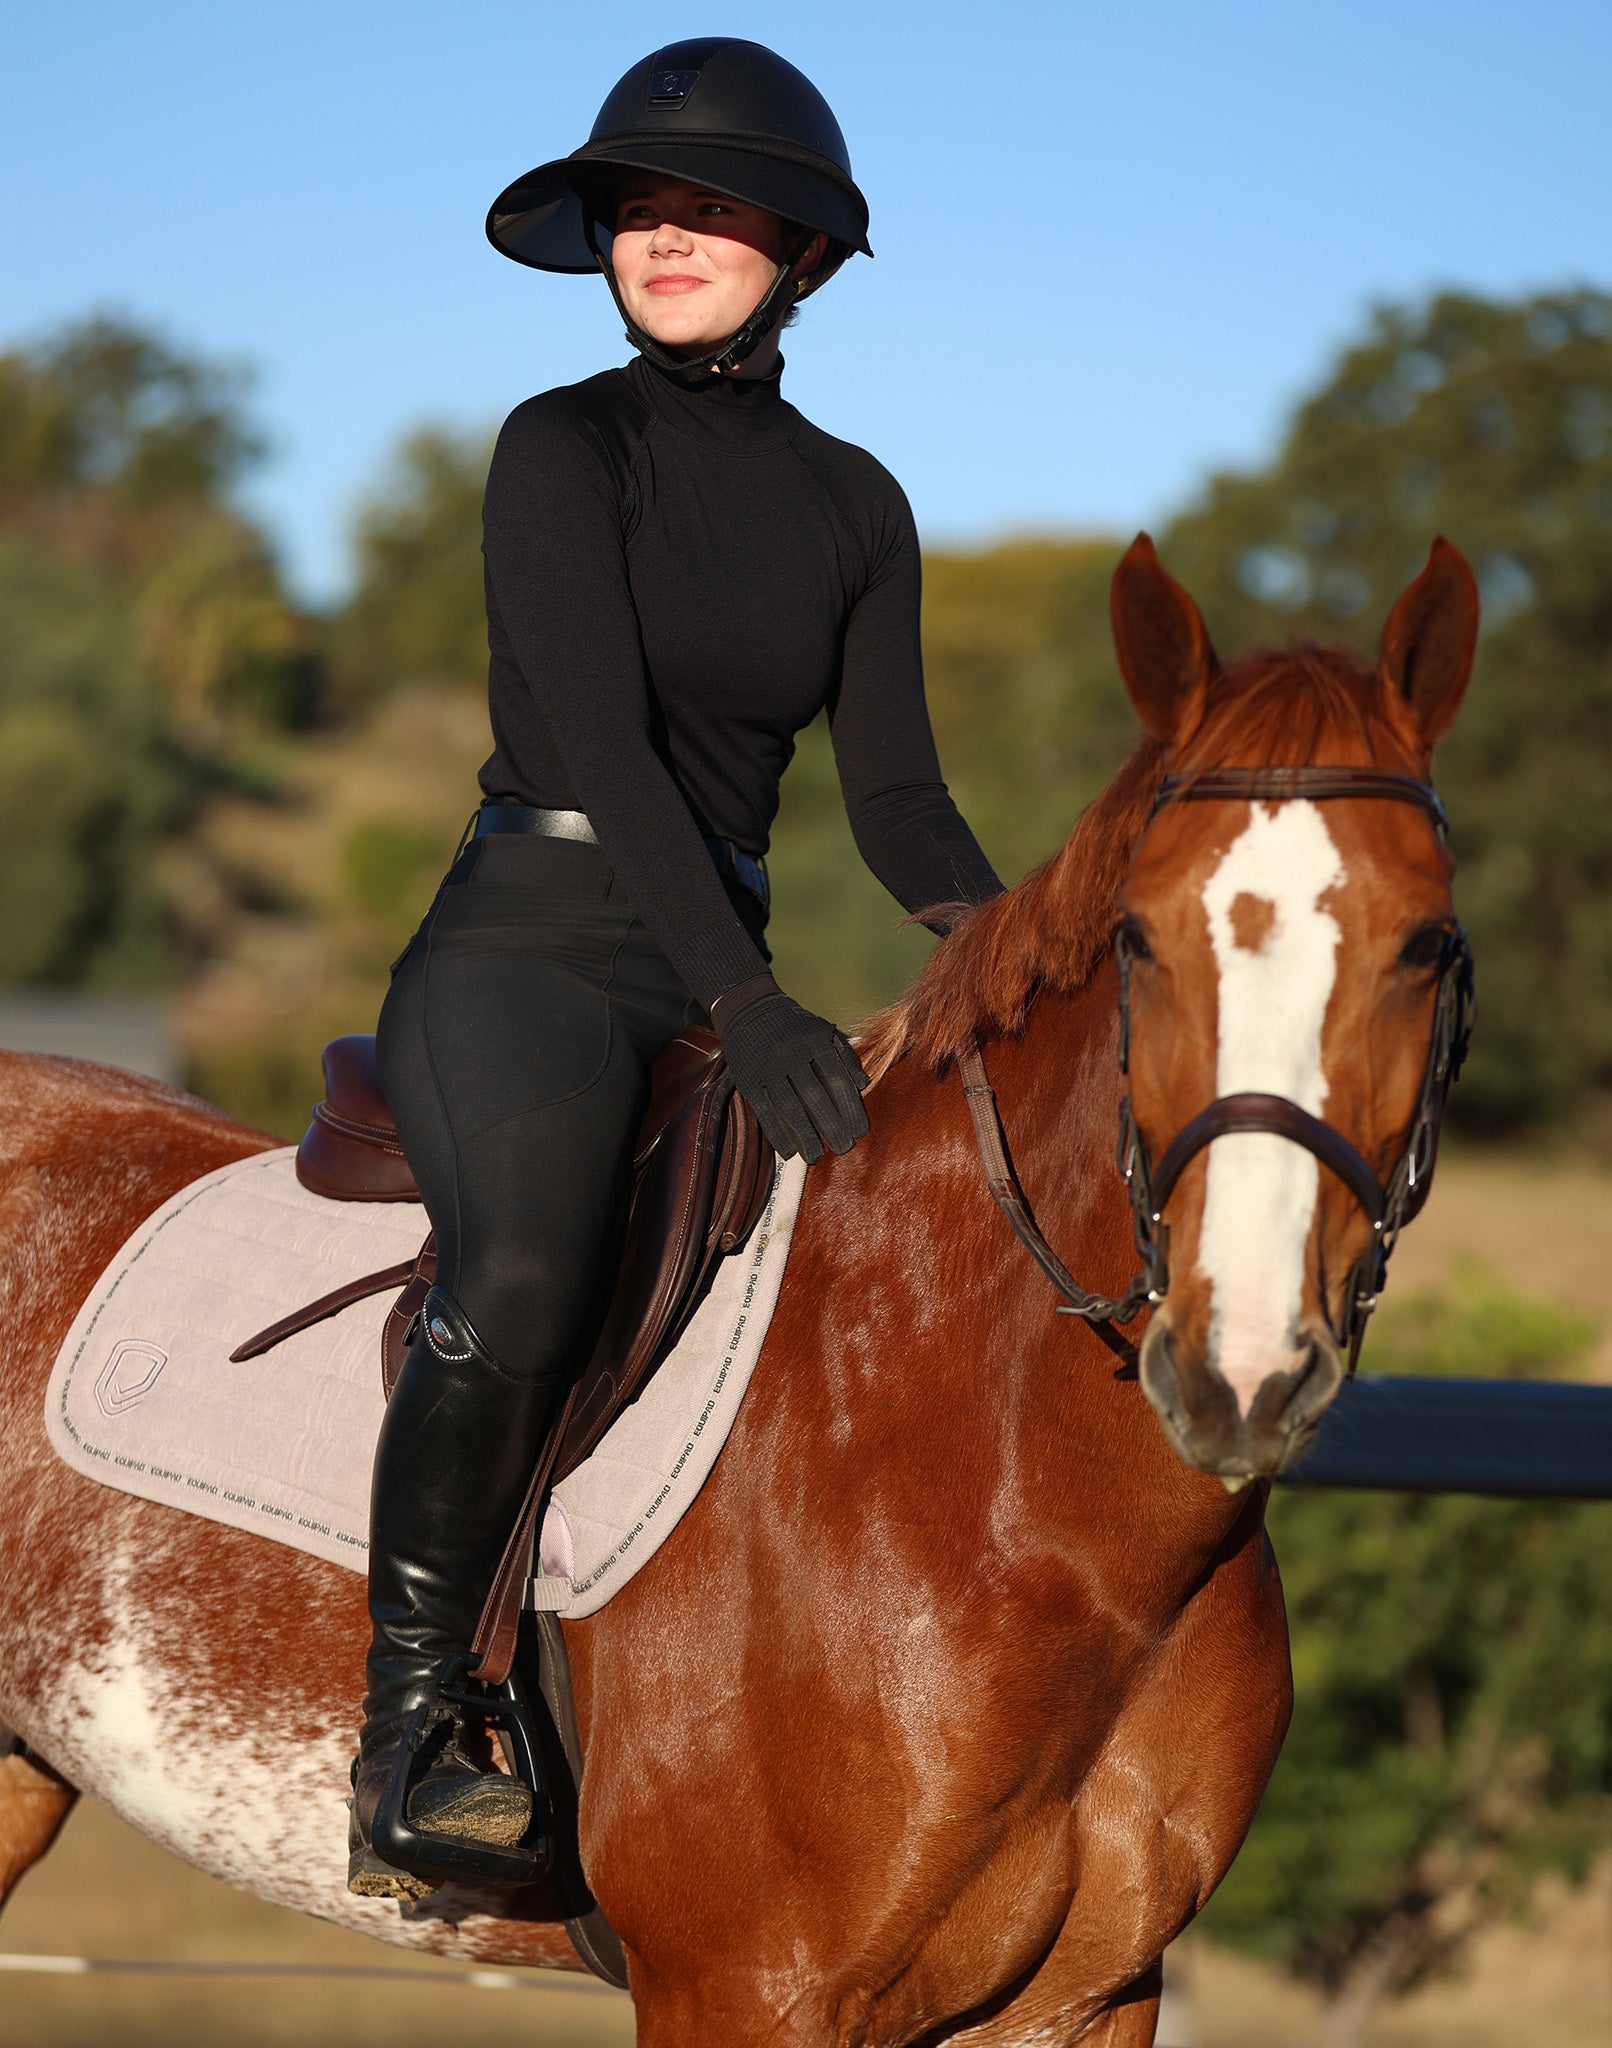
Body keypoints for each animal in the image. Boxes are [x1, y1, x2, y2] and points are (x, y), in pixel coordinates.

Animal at [0, 536, 1474, 2039]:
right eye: (1140, 940)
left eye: (1428, 944)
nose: (1242, 1369)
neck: (1029, 1514)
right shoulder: (744, 1990)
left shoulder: (1087, 1997)